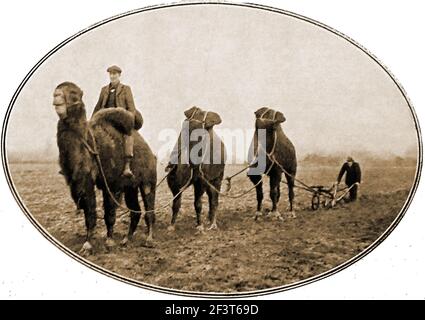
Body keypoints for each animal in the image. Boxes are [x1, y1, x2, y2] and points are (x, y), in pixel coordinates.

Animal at [53, 82, 156, 252]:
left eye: (73, 93)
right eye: (56, 92)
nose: (56, 96)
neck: (91, 143)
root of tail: (151, 152)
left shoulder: (112, 183)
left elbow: (109, 213)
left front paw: (109, 241)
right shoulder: (83, 181)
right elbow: (89, 210)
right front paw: (87, 244)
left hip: (148, 180)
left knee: (149, 208)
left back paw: (149, 240)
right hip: (131, 186)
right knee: (135, 211)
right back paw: (126, 239)